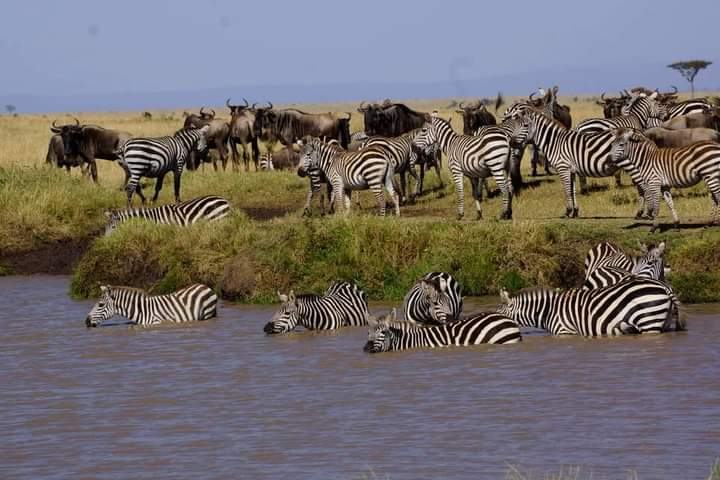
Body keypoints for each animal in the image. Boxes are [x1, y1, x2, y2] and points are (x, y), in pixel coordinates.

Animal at [85, 283, 218, 327]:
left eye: (101, 304)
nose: (86, 322)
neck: (142, 311)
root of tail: (204, 286)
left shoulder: (157, 322)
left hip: (207, 314)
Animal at [498, 277, 685, 336]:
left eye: (498, 312)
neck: (548, 311)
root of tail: (664, 287)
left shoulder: (565, 332)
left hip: (649, 321)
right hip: (664, 321)